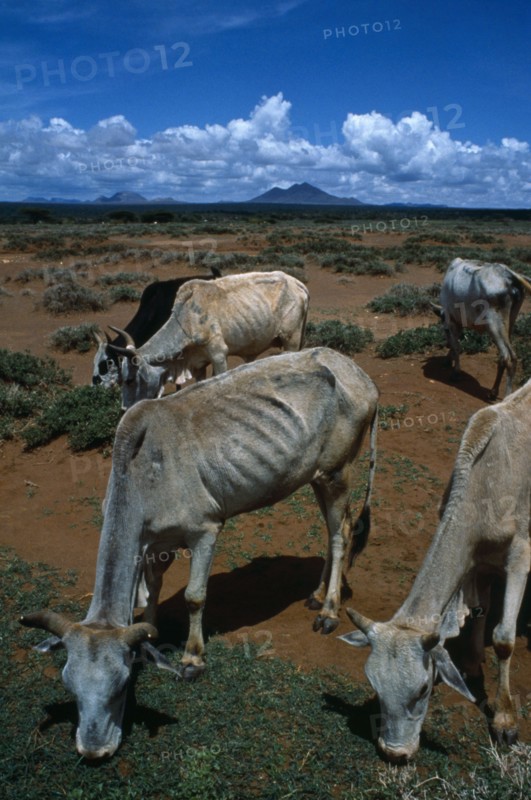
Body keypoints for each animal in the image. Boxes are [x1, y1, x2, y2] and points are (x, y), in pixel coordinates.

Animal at [21, 347, 379, 758]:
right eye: (69, 683)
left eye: (121, 685)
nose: (94, 750)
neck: (144, 472)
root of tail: (357, 373)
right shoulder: (154, 543)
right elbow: (153, 589)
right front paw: (152, 634)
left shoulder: (205, 530)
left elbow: (194, 596)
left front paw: (193, 659)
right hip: (316, 476)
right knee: (332, 530)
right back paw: (316, 594)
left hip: (338, 472)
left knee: (341, 535)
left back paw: (329, 611)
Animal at [110, 270, 309, 410]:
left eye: (129, 380)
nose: (124, 410)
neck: (186, 321)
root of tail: (298, 284)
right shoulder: (198, 365)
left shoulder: (219, 355)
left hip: (291, 340)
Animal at [340, 379, 531, 762]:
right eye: (375, 687)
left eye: (424, 689)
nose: (394, 753)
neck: (486, 482)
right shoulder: (477, 560)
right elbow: (480, 610)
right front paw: (471, 662)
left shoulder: (520, 552)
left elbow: (504, 637)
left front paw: (504, 719)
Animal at [432, 257, 531, 398]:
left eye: (445, 330)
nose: (446, 344)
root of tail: (508, 274)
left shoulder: (451, 321)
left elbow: (456, 347)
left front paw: (456, 372)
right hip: (509, 323)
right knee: (507, 357)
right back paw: (493, 391)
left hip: (493, 325)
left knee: (508, 357)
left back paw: (505, 396)